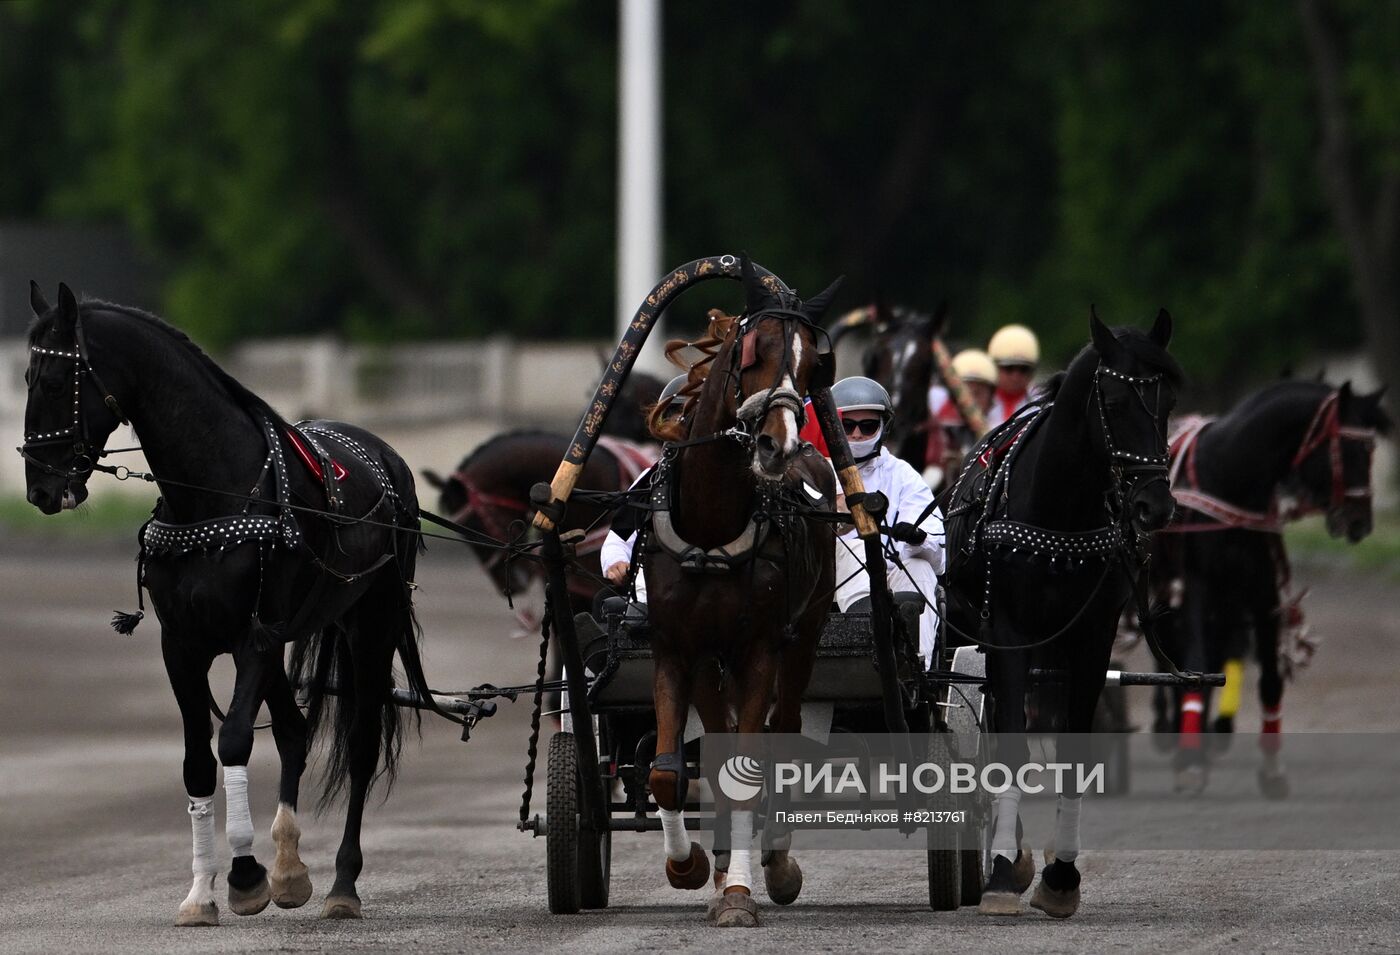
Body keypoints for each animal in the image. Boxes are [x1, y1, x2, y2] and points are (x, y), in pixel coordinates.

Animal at [20, 281, 431, 924]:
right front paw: (201, 893)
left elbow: (234, 739)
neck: (213, 492)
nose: (39, 487)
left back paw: (342, 884)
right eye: (28, 378)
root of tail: (386, 459)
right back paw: (290, 867)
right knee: (293, 732)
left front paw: (244, 876)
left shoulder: (254, 638)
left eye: (58, 382)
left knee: (360, 745)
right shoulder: (184, 645)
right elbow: (197, 760)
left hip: (370, 623)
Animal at [641, 259, 840, 924]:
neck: (711, 526)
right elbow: (668, 774)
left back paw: (771, 860)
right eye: (752, 352)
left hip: (804, 635)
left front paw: (740, 893)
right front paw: (690, 865)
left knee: (784, 728)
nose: (778, 446)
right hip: (711, 659)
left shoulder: (759, 648)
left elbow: (749, 769)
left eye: (813, 365)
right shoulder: (676, 648)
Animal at [940, 305, 1181, 912]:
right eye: (1114, 402)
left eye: (1168, 403)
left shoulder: (1092, 636)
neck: (1059, 513)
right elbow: (1009, 748)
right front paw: (1004, 871)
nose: (1155, 505)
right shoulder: (1008, 632)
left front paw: (1061, 877)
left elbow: (1075, 750)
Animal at [1148, 375, 1388, 789]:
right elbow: (1193, 662)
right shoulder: (1195, 587)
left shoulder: (1260, 590)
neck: (1228, 482)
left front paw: (1272, 767)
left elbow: (1270, 677)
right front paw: (1190, 759)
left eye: (1371, 447)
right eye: (1349, 449)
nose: (1360, 522)